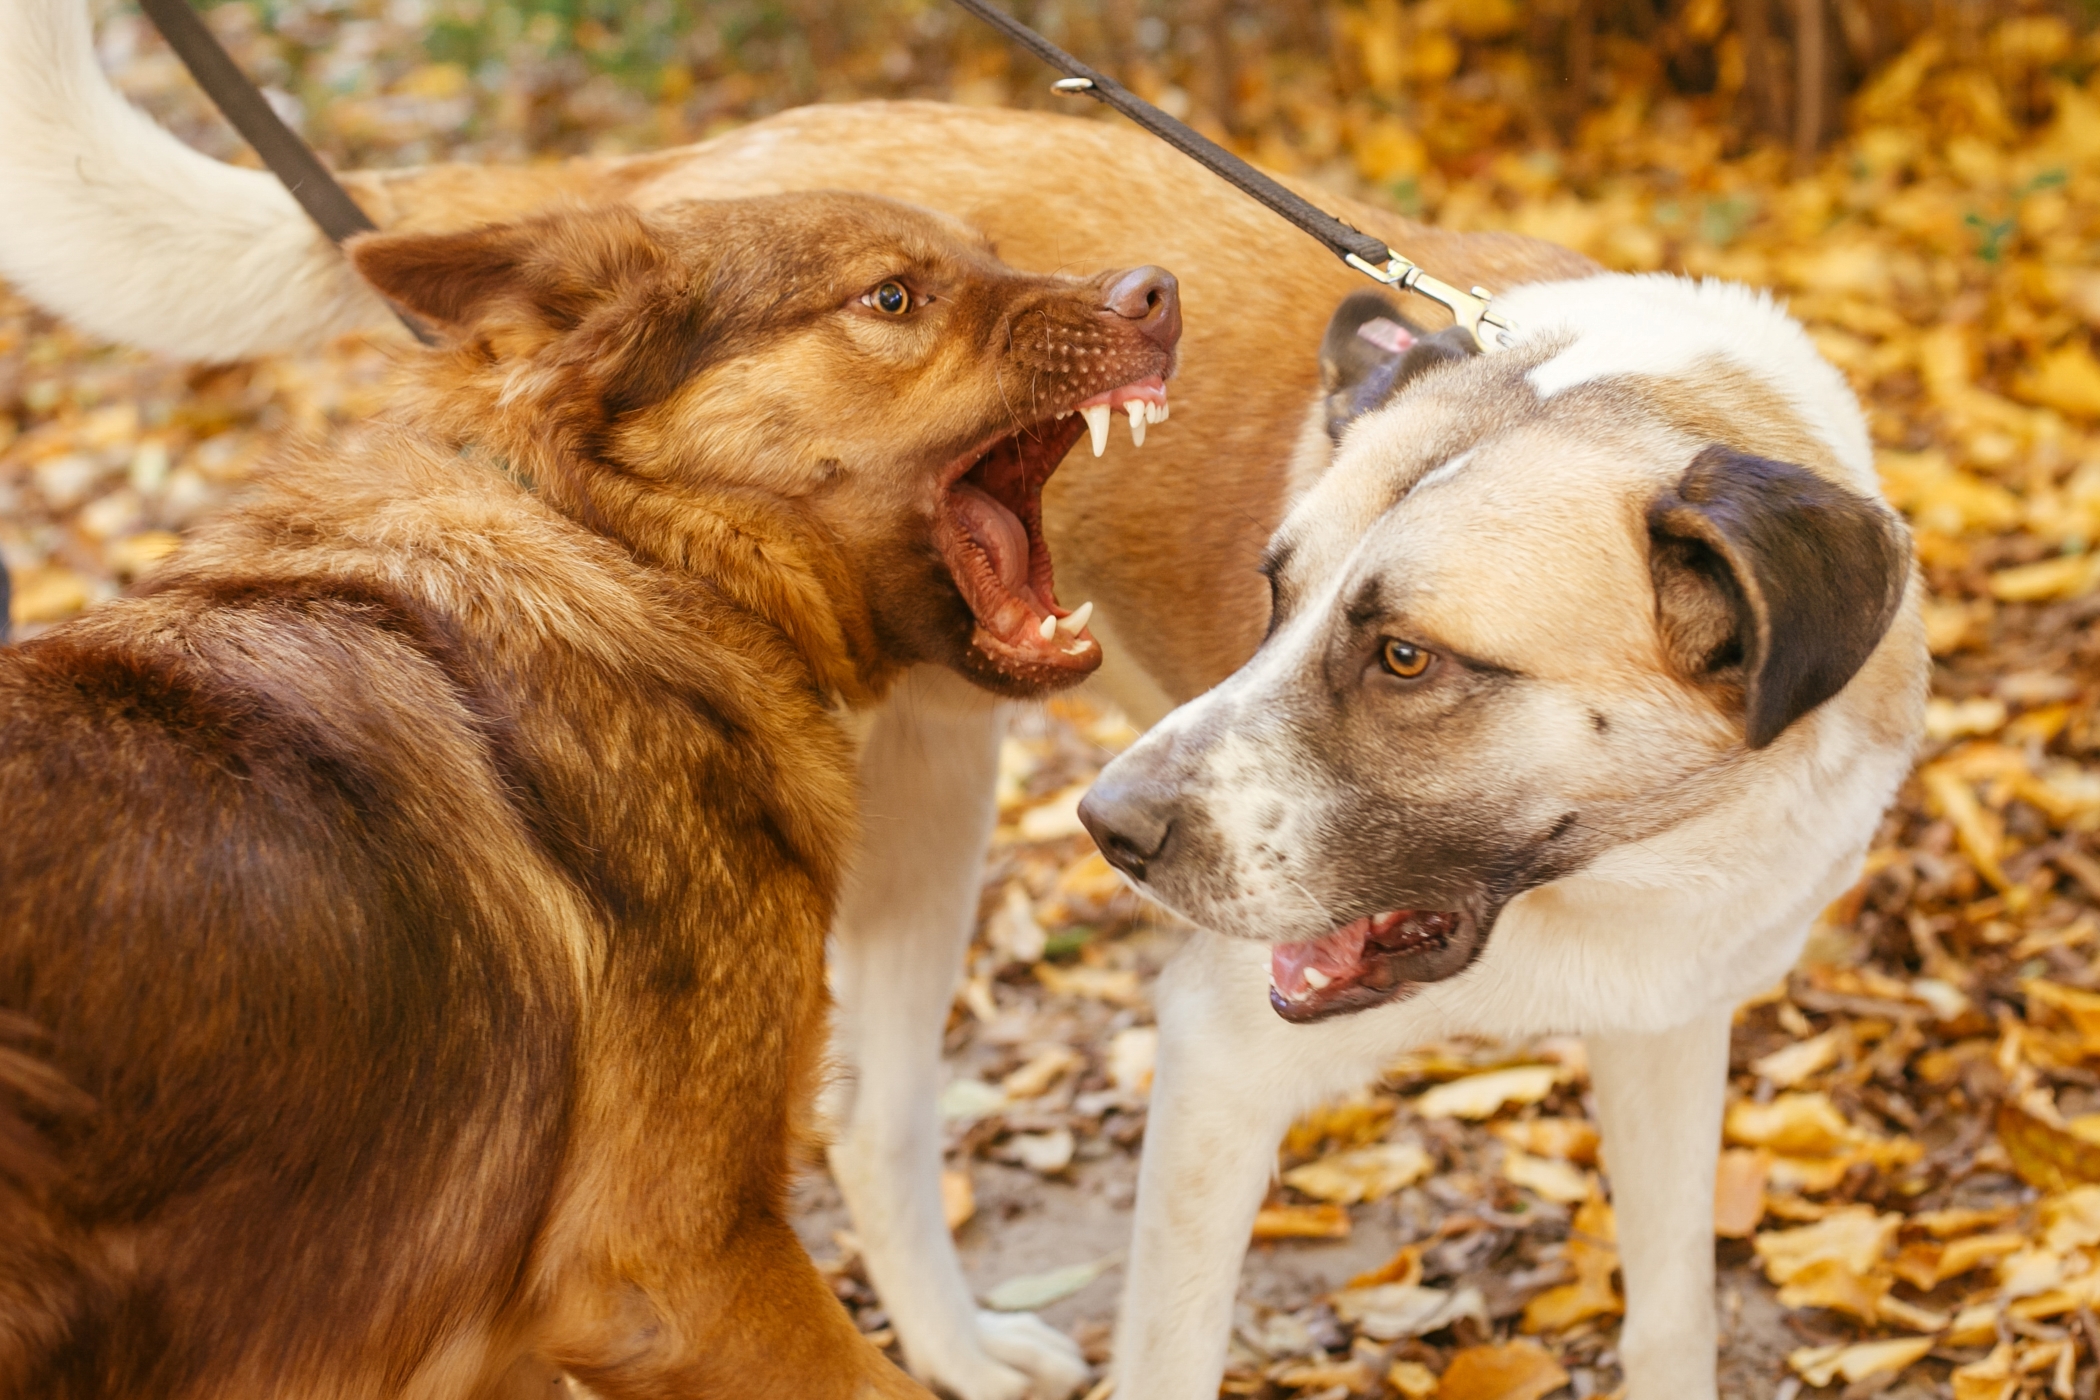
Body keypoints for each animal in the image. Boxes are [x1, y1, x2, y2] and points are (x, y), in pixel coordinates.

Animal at [0, 194, 1184, 1400]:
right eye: (893, 296)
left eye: (988, 252)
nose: (1157, 292)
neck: (639, 549)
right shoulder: (672, 1272)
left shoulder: (499, 1342)